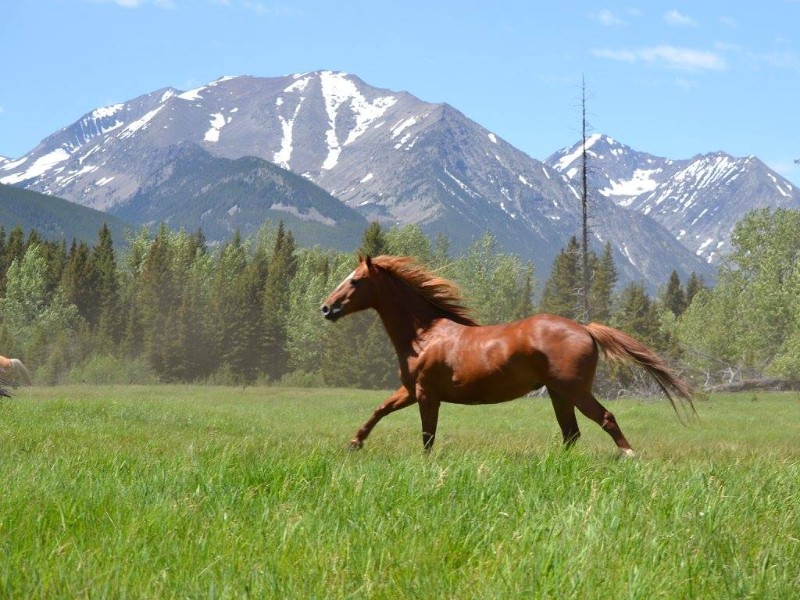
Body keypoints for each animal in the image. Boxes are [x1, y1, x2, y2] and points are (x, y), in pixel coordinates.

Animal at [318, 254, 692, 454]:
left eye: (355, 281)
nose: (325, 308)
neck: (424, 334)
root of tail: (585, 329)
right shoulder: (411, 390)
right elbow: (379, 410)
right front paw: (354, 443)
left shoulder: (426, 394)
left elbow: (427, 436)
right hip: (559, 393)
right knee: (570, 433)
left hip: (574, 389)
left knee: (605, 419)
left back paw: (629, 455)